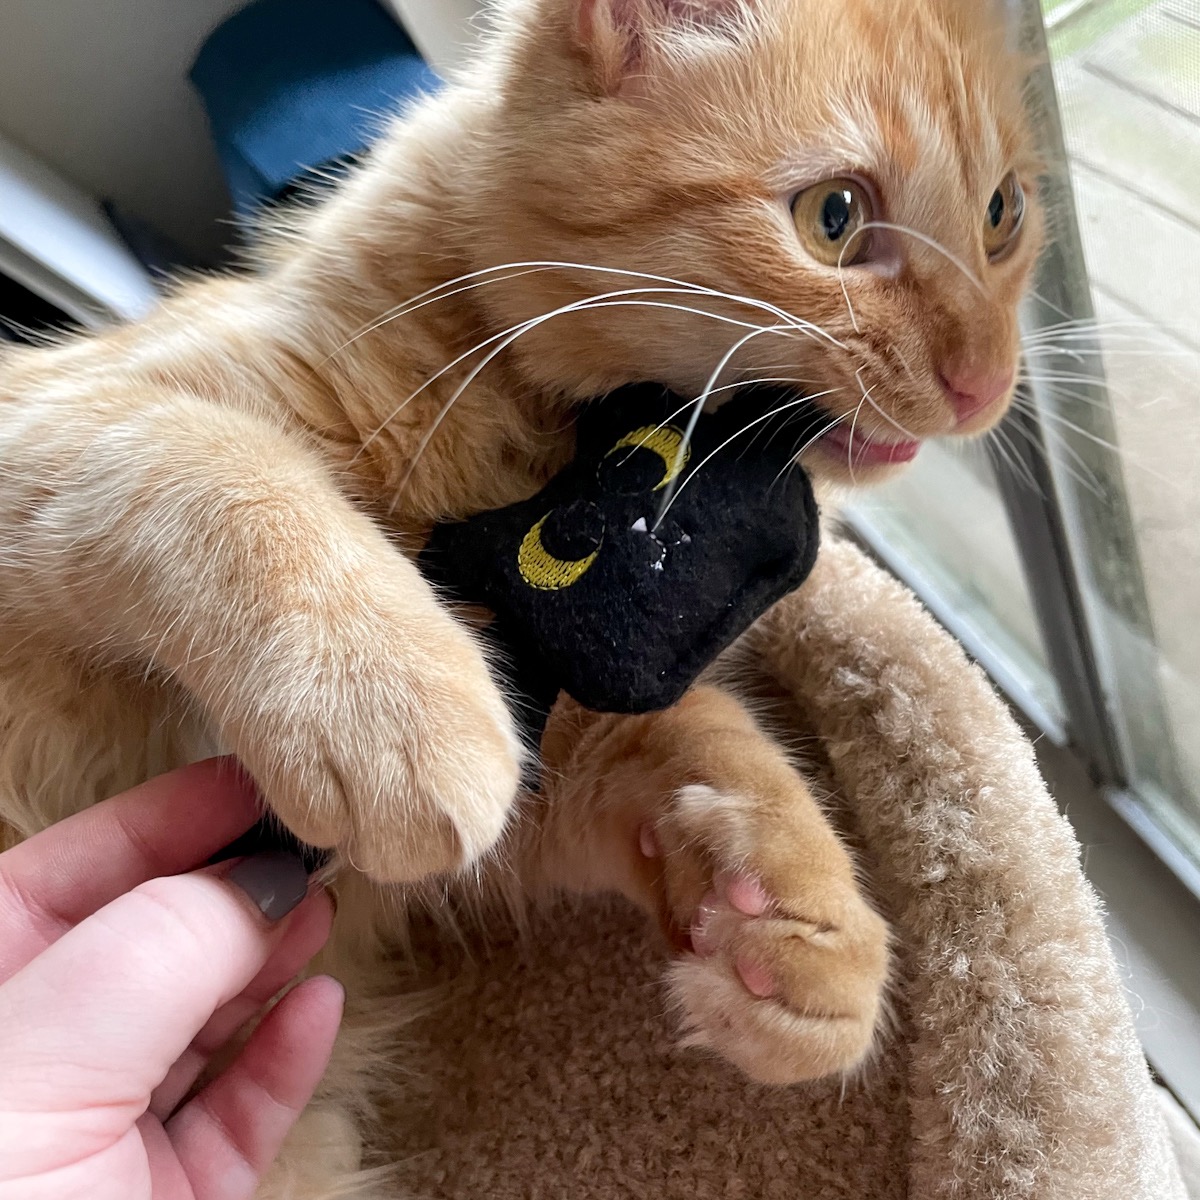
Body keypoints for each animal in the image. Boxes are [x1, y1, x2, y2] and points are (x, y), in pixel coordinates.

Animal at [0, 0, 1041, 1190]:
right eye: (834, 218)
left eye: (1003, 215)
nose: (984, 381)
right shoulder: (58, 422)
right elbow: (215, 468)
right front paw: (382, 692)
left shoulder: (555, 743)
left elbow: (698, 734)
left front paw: (791, 912)